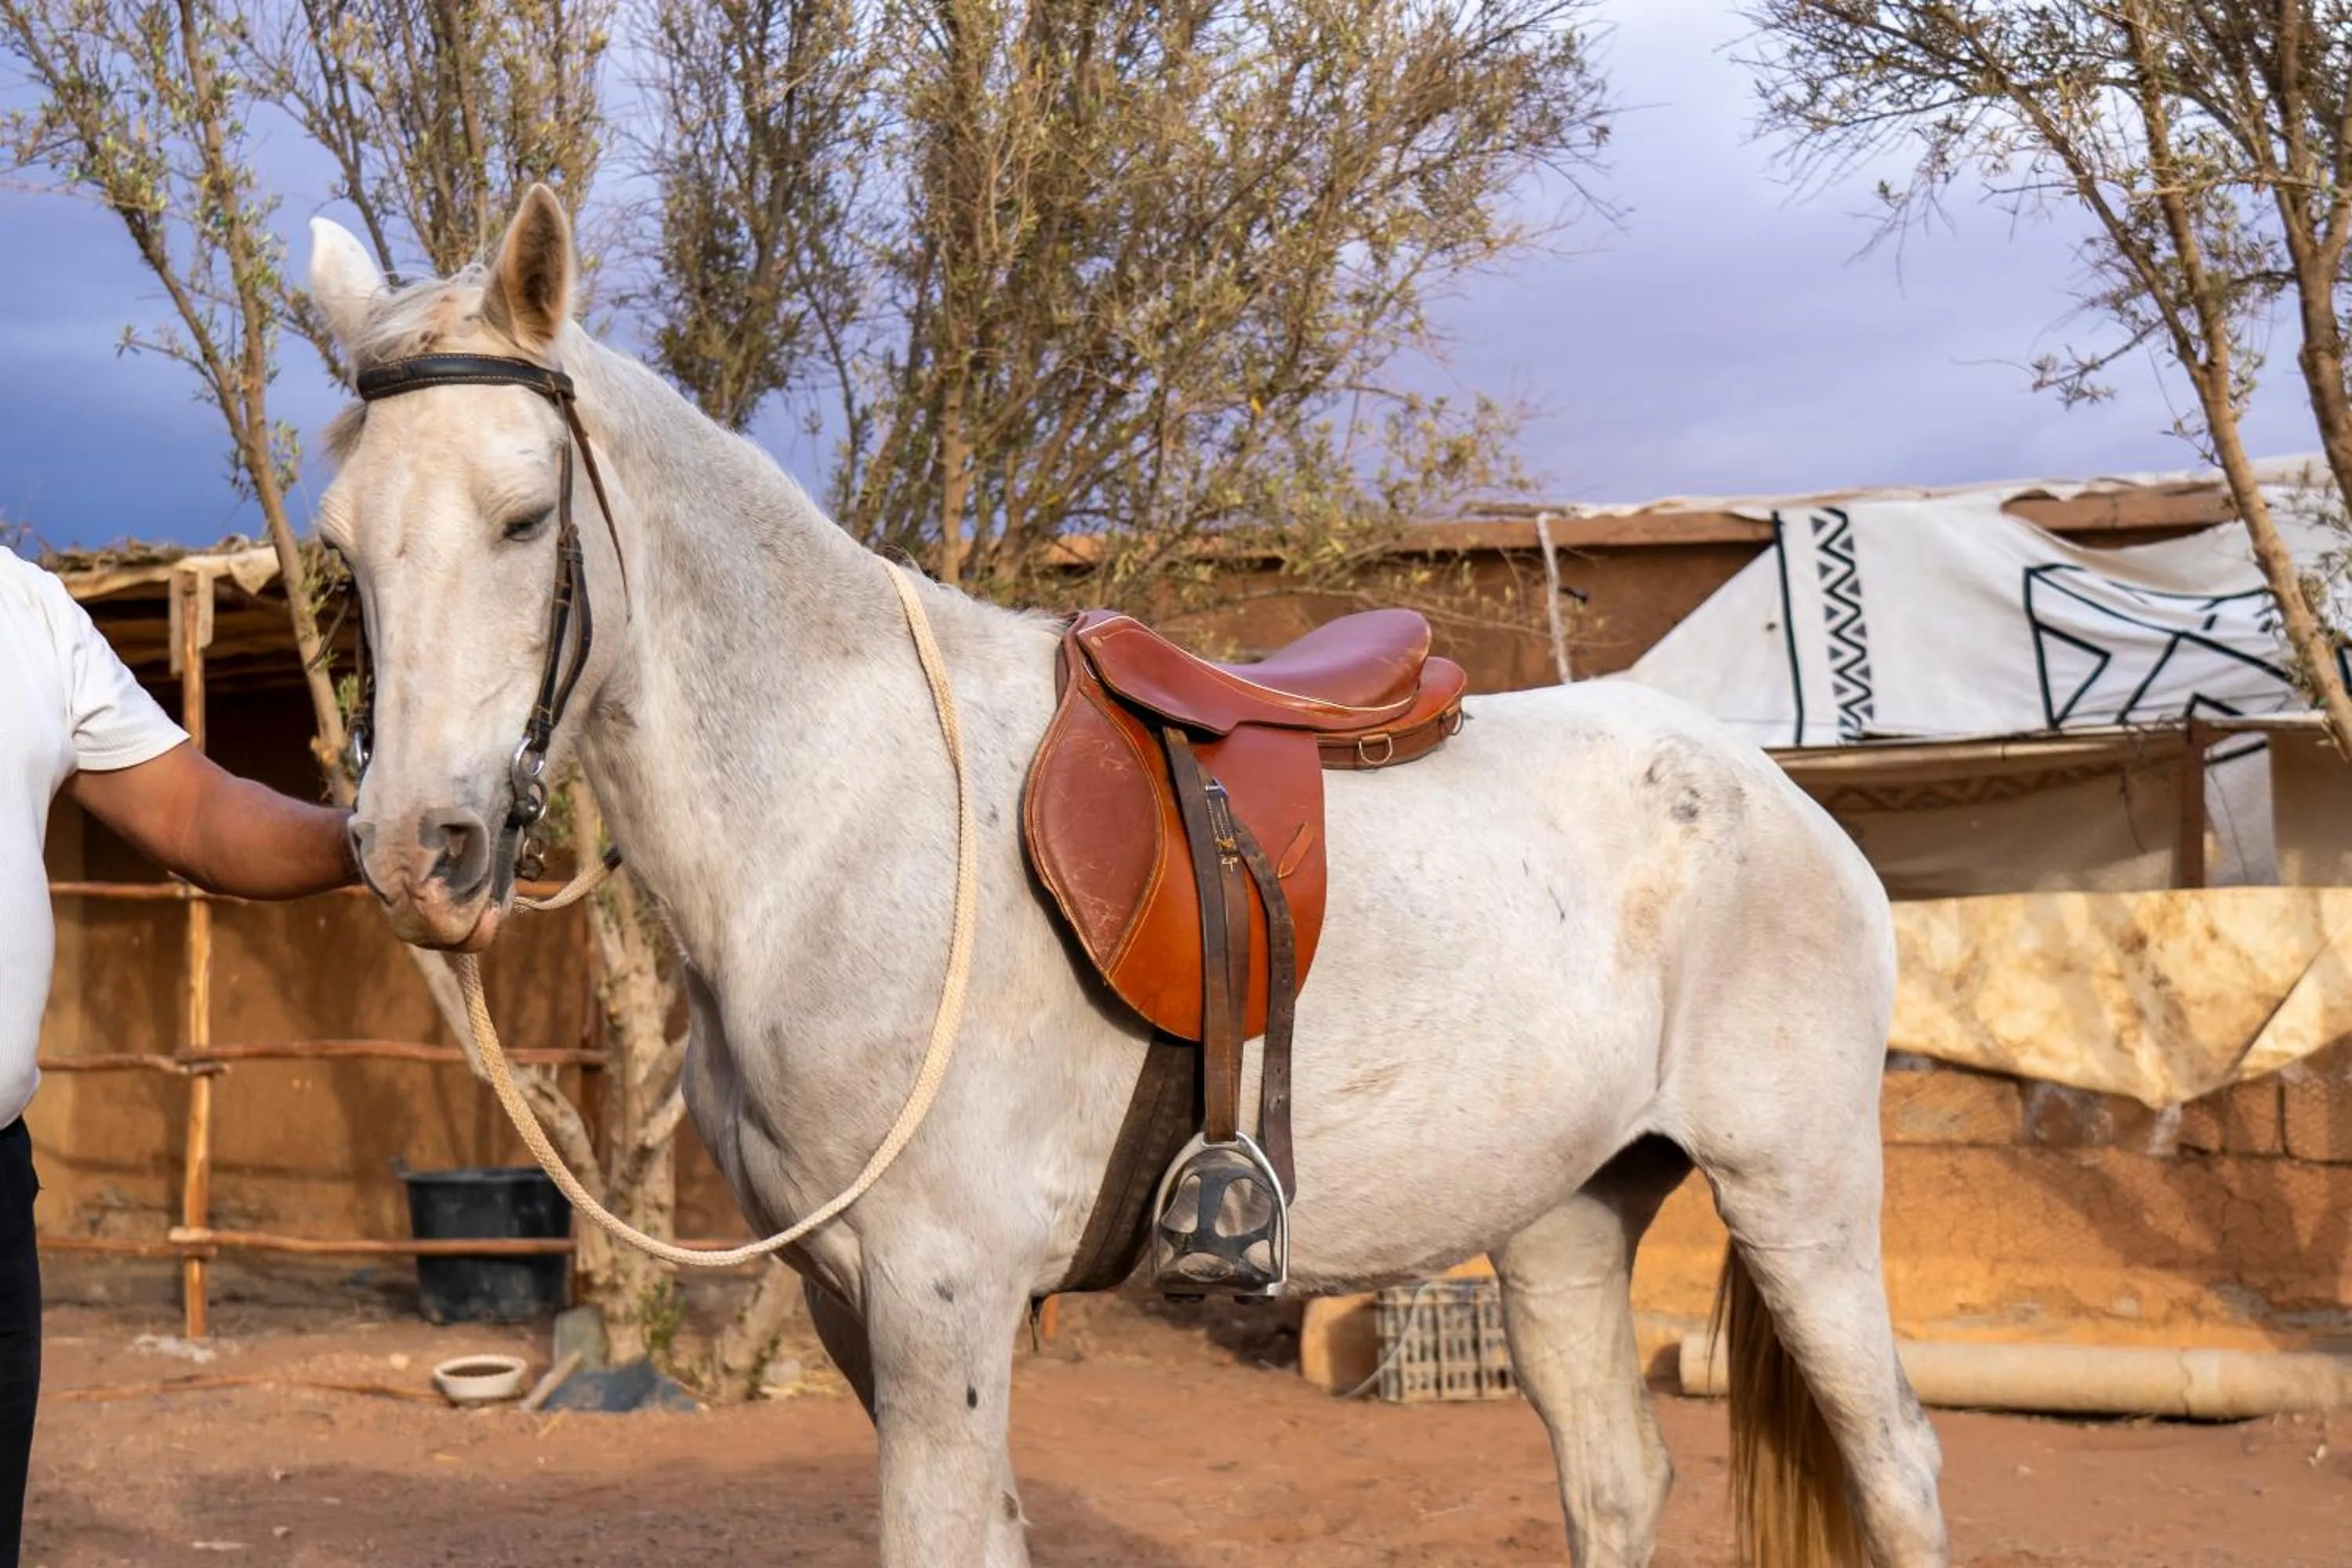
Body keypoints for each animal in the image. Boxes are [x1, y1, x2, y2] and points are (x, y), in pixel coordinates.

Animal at [309, 185, 1948, 1568]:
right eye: (340, 548)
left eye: (526, 517)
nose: (419, 852)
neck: (838, 822)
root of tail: (1767, 788)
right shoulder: (857, 1307)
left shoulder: (942, 1300)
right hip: (1567, 1221)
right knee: (1617, 1481)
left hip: (1799, 1202)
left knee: (1900, 1469)